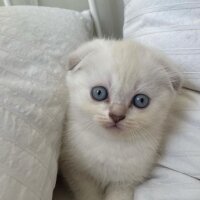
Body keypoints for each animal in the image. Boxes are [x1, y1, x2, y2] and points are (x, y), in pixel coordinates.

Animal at [60, 39, 182, 200]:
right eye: (99, 93)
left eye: (141, 100)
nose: (116, 115)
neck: (110, 145)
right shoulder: (77, 172)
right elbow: (89, 193)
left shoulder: (126, 181)